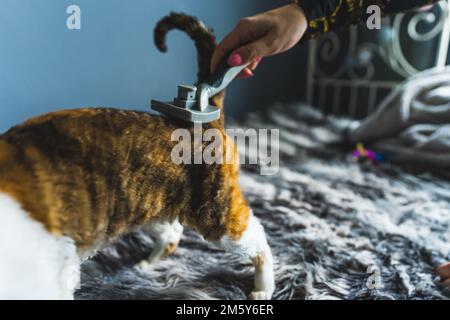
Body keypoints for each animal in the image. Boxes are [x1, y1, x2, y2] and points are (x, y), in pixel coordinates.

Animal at [0, 12, 274, 300]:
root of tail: (200, 117)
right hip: (145, 205)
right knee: (173, 232)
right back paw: (147, 266)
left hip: (214, 212)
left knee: (258, 238)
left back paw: (263, 287)